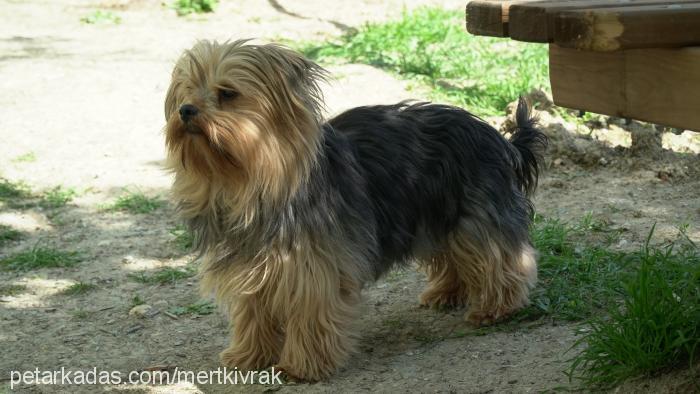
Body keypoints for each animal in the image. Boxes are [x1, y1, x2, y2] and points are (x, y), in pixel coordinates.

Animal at [164, 40, 548, 382]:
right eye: (186, 91)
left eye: (228, 93)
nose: (186, 110)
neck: (248, 185)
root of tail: (501, 141)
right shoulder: (250, 267)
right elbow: (252, 314)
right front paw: (249, 356)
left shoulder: (314, 267)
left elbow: (311, 312)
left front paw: (302, 367)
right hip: (436, 215)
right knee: (454, 254)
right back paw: (446, 293)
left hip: (477, 215)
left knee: (499, 257)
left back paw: (496, 307)